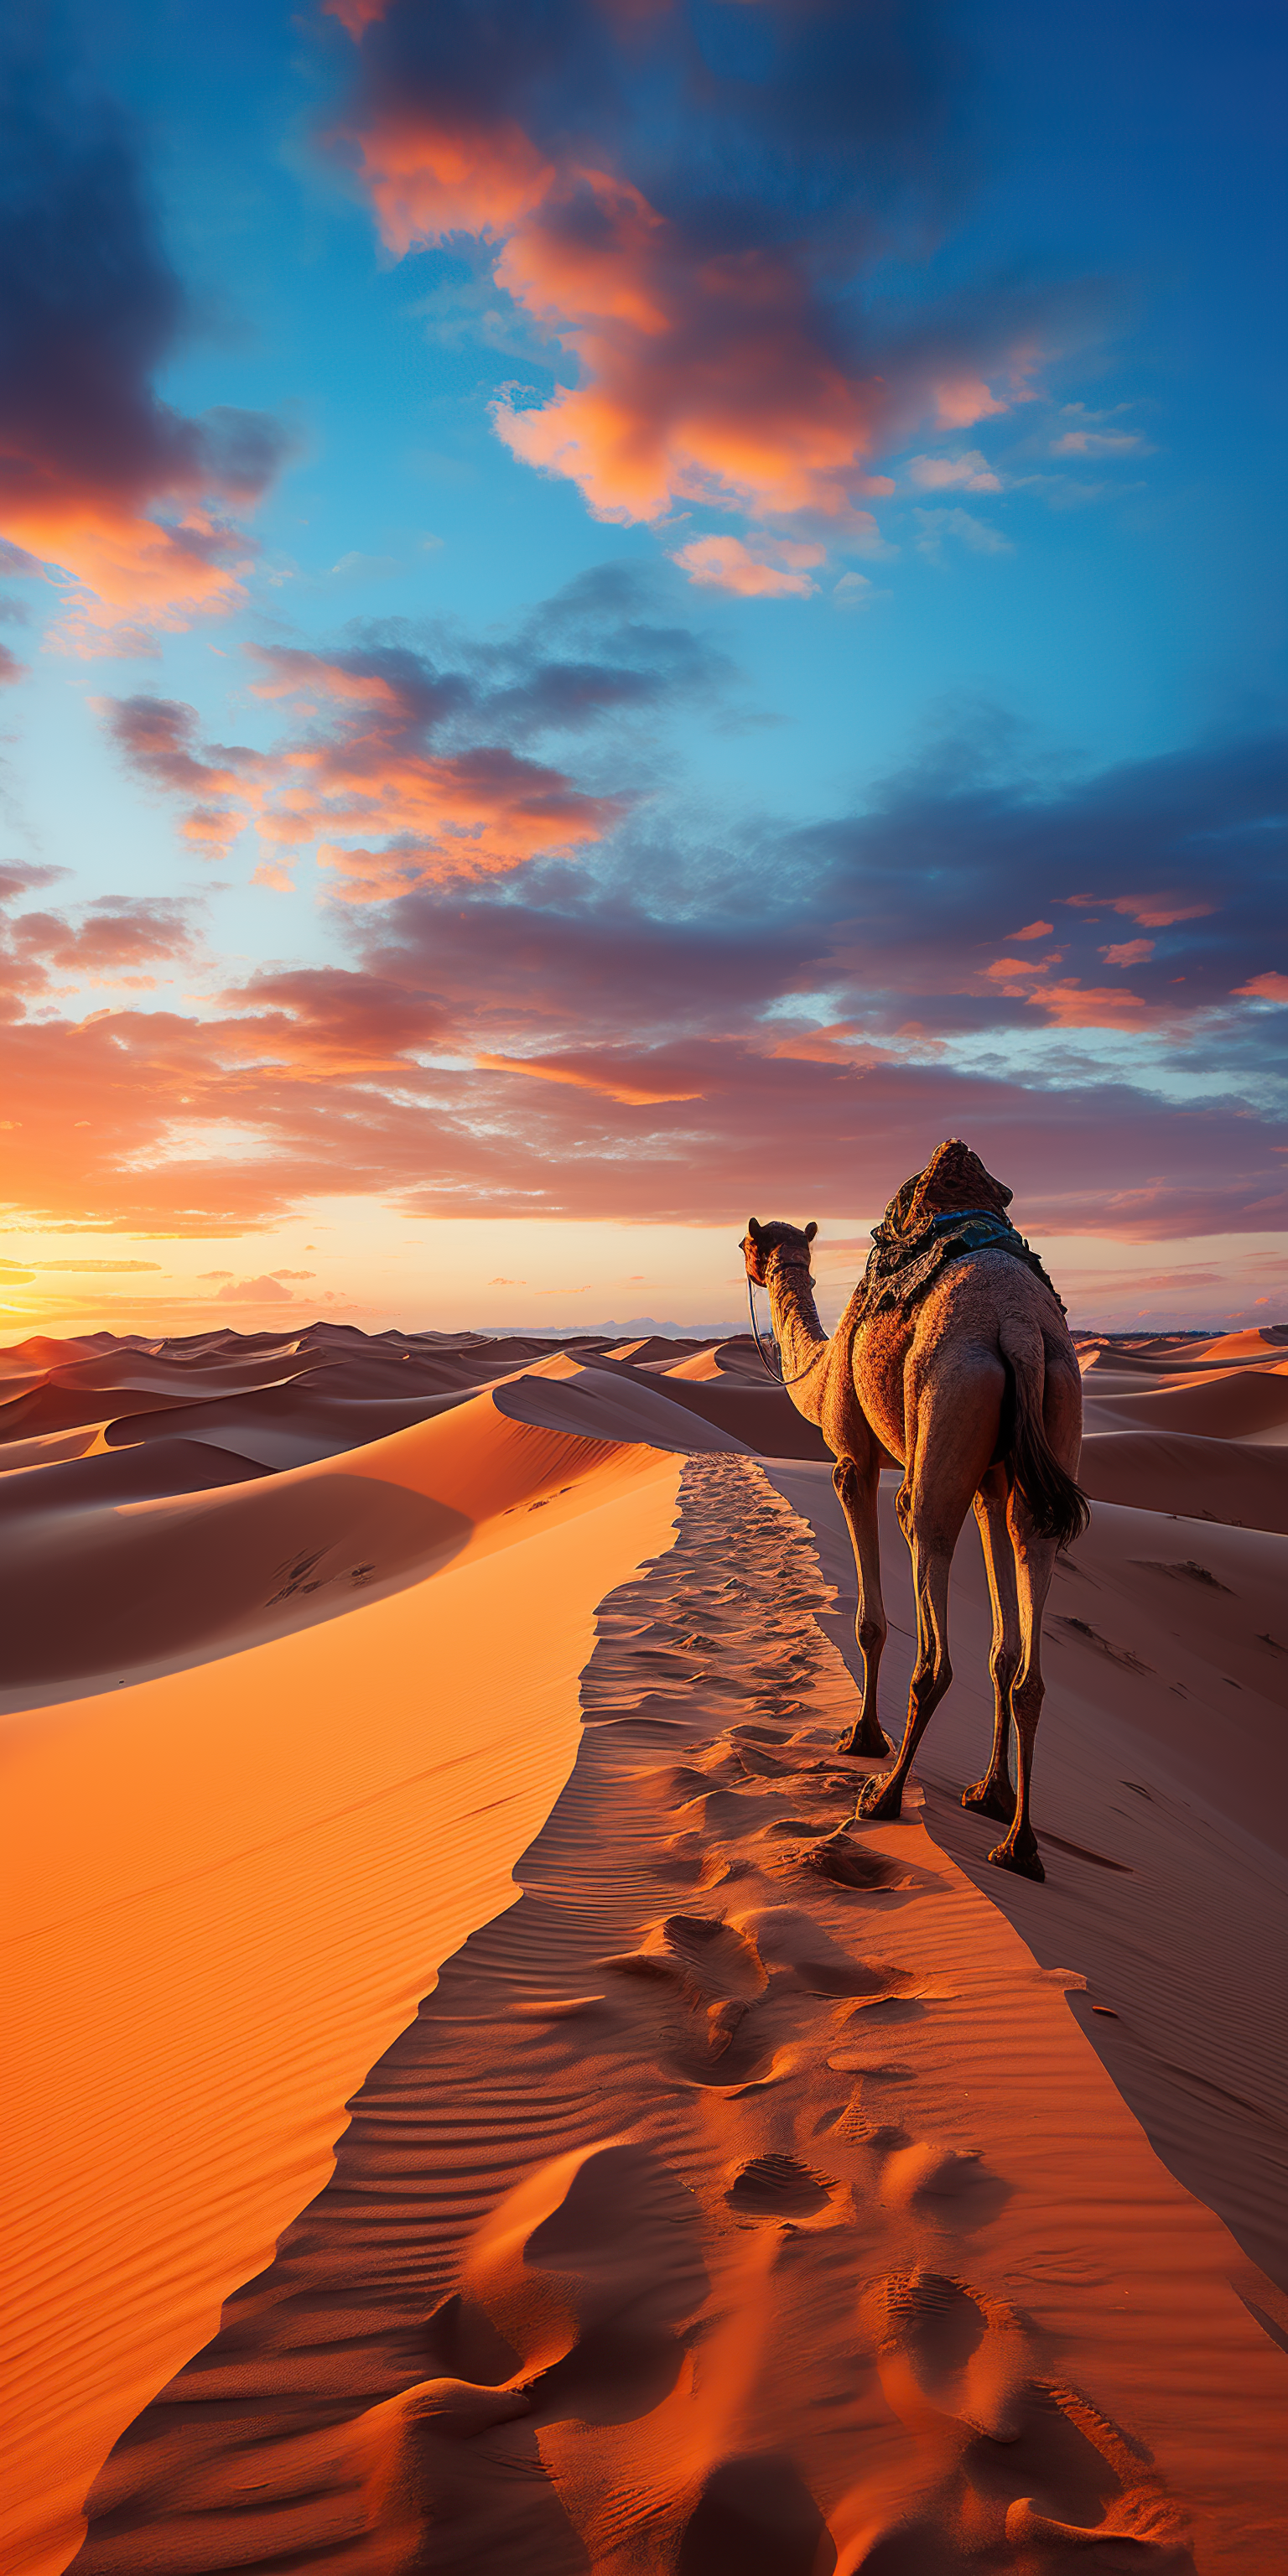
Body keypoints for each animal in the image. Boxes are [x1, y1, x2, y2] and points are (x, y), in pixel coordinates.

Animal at [746, 1138, 1087, 1885]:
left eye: (746, 1243)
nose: (752, 1265)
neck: (823, 1367)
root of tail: (1018, 1329)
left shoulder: (852, 1456)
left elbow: (871, 1621)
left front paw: (861, 1736)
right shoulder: (993, 1485)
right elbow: (1003, 1647)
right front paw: (991, 1792)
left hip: (946, 1399)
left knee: (930, 1612)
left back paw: (886, 1795)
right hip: (1053, 1422)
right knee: (1029, 1649)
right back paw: (1011, 1831)